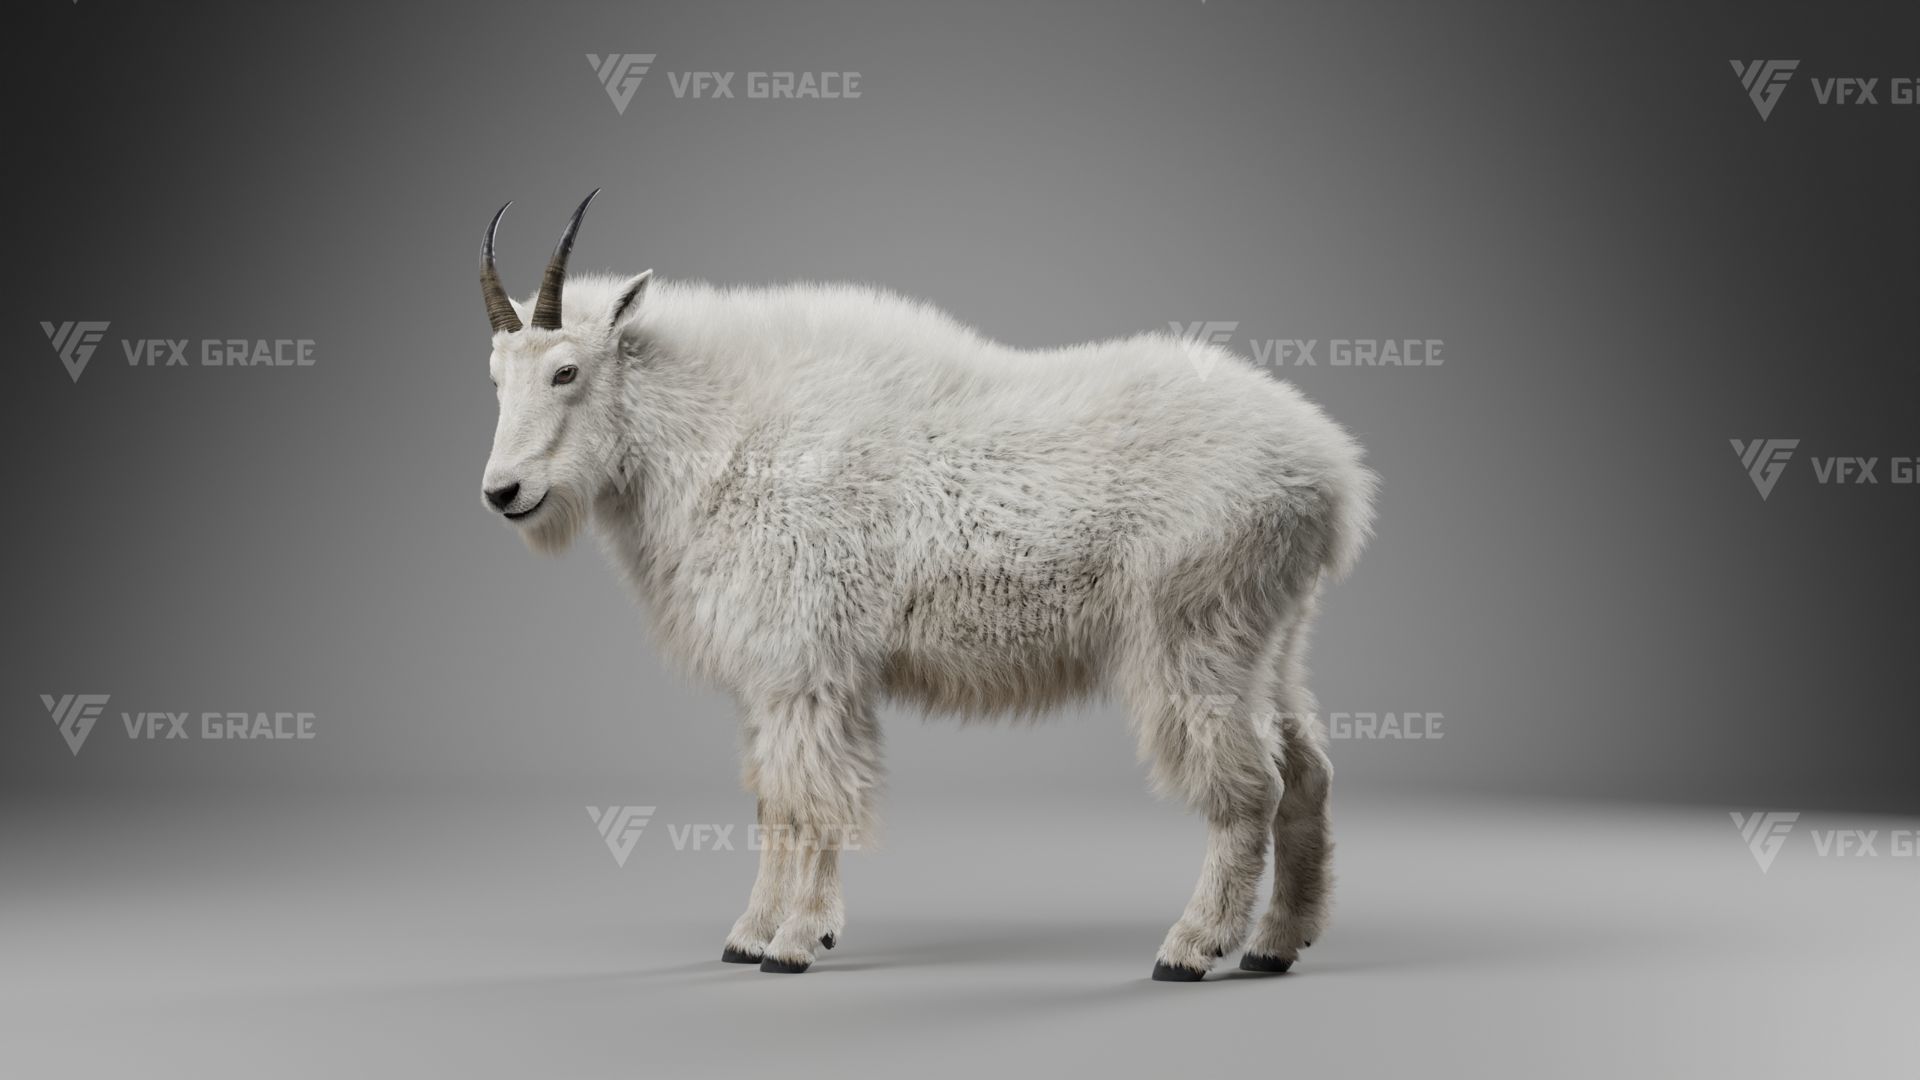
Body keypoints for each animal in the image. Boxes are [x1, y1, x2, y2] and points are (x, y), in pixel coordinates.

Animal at [478, 191, 1377, 979]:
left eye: (566, 371)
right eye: (493, 379)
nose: (503, 492)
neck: (723, 436)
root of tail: (1331, 475)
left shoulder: (807, 662)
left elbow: (811, 801)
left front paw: (795, 942)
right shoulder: (775, 674)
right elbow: (774, 801)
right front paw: (750, 935)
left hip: (1194, 631)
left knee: (1250, 786)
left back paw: (1192, 947)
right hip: (1270, 636)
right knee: (1308, 772)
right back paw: (1275, 944)